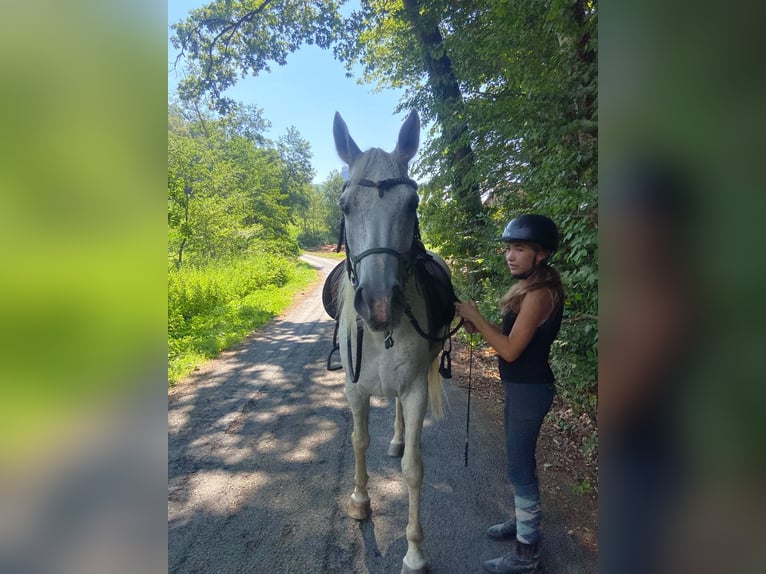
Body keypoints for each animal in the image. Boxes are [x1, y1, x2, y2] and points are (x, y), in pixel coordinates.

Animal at [331, 110, 455, 574]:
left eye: (412, 204)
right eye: (346, 206)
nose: (380, 303)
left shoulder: (416, 387)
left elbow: (413, 468)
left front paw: (415, 552)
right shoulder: (354, 390)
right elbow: (358, 441)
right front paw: (360, 501)